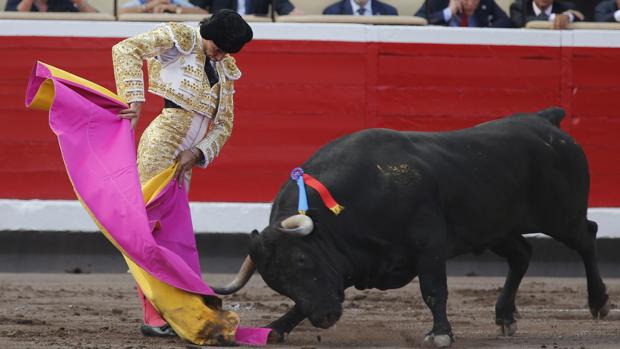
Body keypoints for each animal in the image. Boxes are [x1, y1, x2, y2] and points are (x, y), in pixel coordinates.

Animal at [213, 107, 612, 346]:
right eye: (276, 282)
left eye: (301, 260)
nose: (325, 319)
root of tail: (545, 120)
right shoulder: (350, 263)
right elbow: (308, 301)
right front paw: (275, 328)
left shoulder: (428, 245)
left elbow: (433, 290)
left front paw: (440, 334)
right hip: (494, 229)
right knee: (522, 254)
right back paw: (504, 316)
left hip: (561, 216)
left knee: (586, 237)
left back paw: (599, 303)